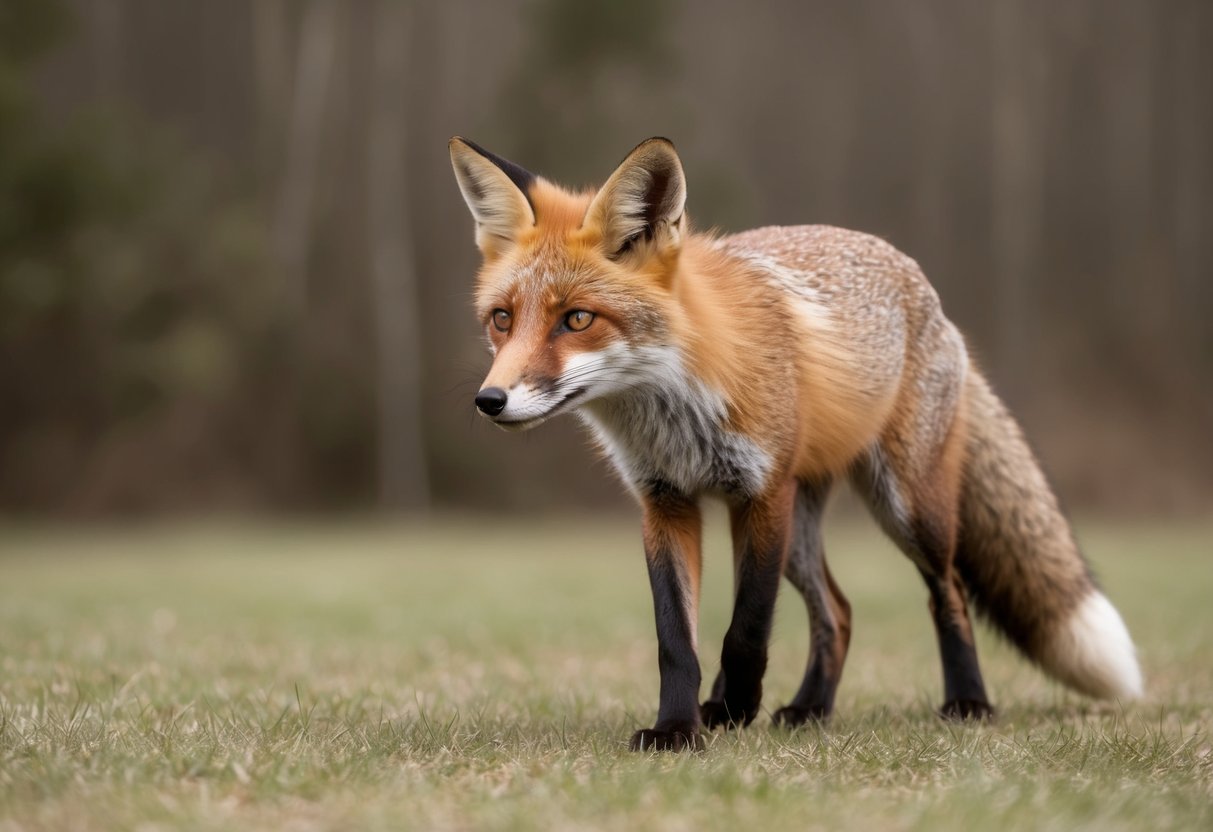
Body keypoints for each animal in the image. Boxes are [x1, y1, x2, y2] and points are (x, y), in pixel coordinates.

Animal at [448, 135, 1143, 752]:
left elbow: (746, 630)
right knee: (839, 611)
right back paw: (811, 709)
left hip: (904, 508)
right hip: (803, 533)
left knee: (948, 590)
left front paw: (732, 709)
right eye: (502, 319)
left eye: (577, 319)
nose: (490, 401)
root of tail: (930, 294)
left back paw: (967, 702)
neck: (677, 405)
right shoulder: (665, 502)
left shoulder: (762, 492)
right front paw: (679, 729)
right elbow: (677, 641)